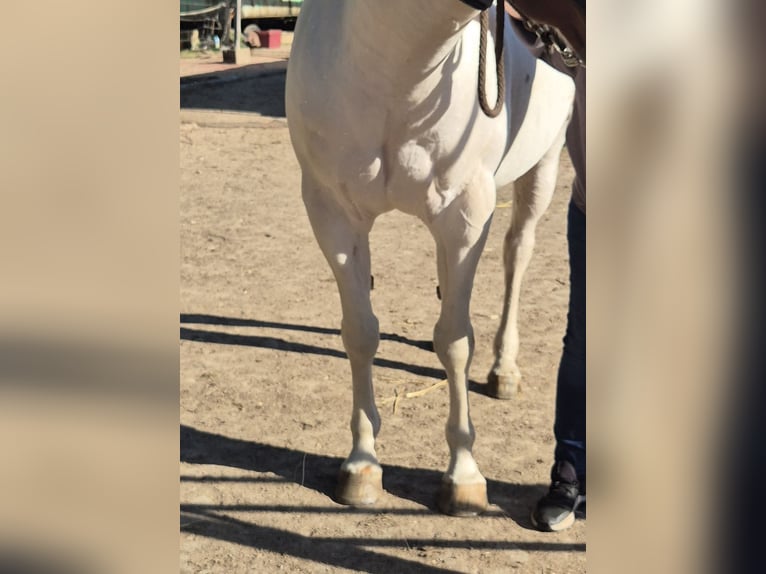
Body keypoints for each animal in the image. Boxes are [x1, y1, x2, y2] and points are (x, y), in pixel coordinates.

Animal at [285, 0, 575, 515]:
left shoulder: (464, 216)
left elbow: (456, 343)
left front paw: (463, 476)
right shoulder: (333, 216)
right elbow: (360, 335)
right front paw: (362, 465)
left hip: (546, 159)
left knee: (517, 253)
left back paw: (504, 369)